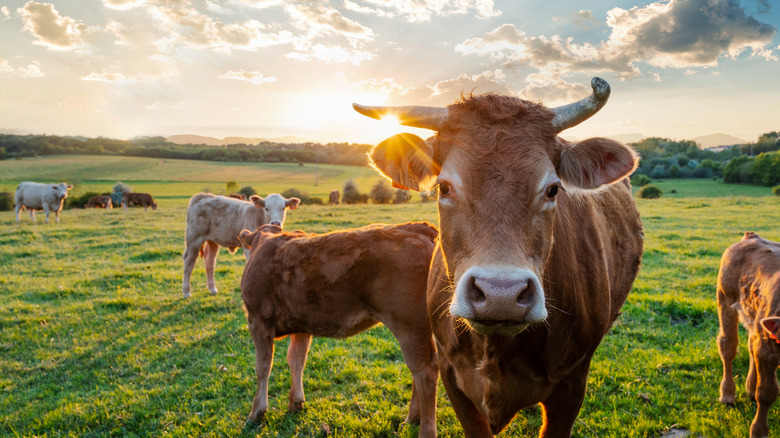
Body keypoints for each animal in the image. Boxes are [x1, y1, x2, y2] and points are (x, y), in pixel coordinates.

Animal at [237, 222, 439, 437]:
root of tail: (414, 227)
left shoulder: (257, 320)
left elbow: (263, 367)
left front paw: (256, 413)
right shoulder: (301, 326)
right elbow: (297, 360)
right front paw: (295, 403)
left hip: (409, 326)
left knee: (424, 373)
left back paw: (424, 429)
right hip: (419, 329)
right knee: (422, 370)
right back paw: (411, 419)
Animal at [717, 232, 780, 438]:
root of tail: (752, 237)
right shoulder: (768, 351)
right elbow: (767, 393)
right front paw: (758, 431)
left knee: (752, 344)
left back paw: (750, 388)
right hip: (725, 298)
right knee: (728, 346)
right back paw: (727, 394)